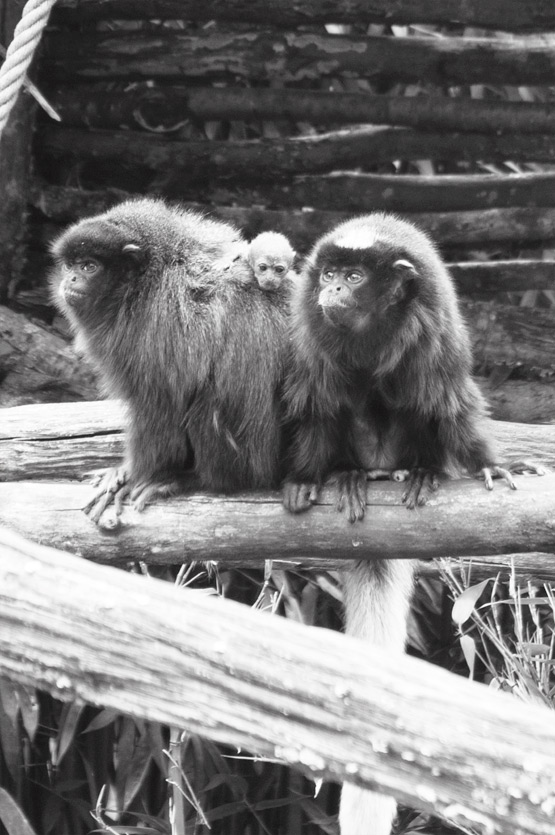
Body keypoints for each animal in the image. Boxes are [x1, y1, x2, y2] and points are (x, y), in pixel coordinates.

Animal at [51, 198, 292, 520]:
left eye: (90, 266)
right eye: (70, 265)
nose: (72, 278)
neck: (143, 283)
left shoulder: (154, 325)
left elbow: (160, 405)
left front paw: (134, 475)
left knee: (209, 403)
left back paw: (196, 479)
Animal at [282, 212, 544, 835]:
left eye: (354, 277)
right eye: (328, 274)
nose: (333, 287)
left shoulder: (433, 323)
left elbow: (449, 401)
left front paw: (490, 463)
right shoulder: (309, 325)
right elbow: (316, 400)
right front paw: (308, 475)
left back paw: (417, 471)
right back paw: (351, 475)